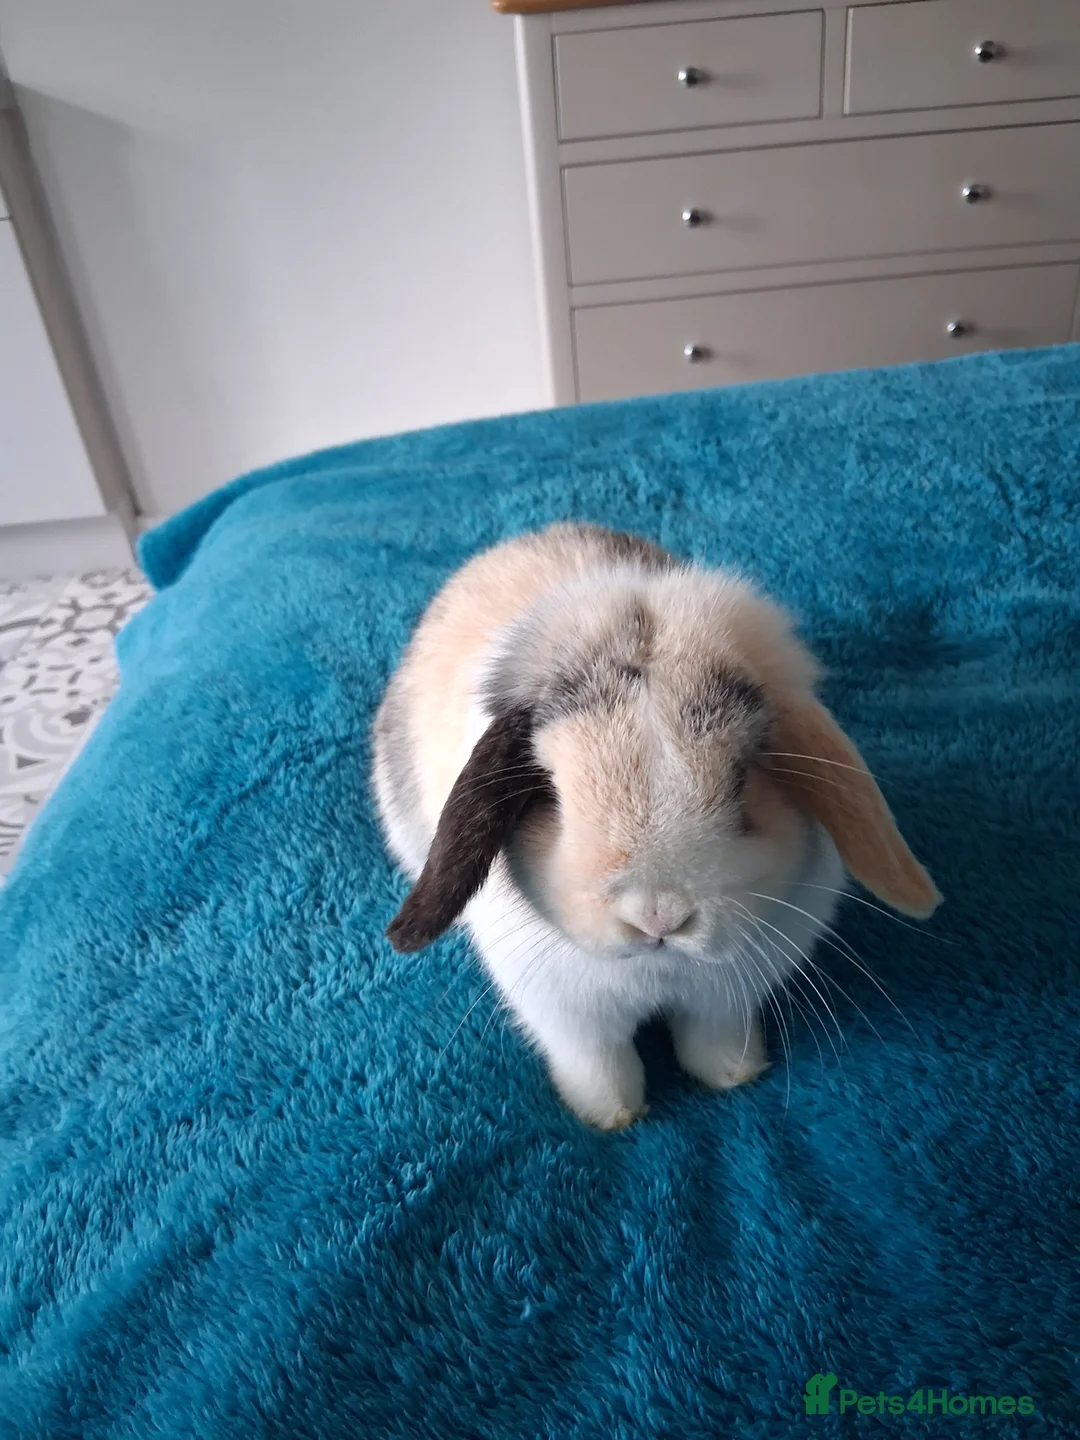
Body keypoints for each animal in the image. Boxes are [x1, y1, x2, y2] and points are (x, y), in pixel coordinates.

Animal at [373, 523, 940, 1130]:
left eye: (742, 779)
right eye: (550, 792)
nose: (659, 916)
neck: (659, 972)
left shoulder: (724, 1002)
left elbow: (714, 1038)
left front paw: (734, 1075)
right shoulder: (570, 1020)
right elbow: (599, 1063)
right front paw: (612, 1116)